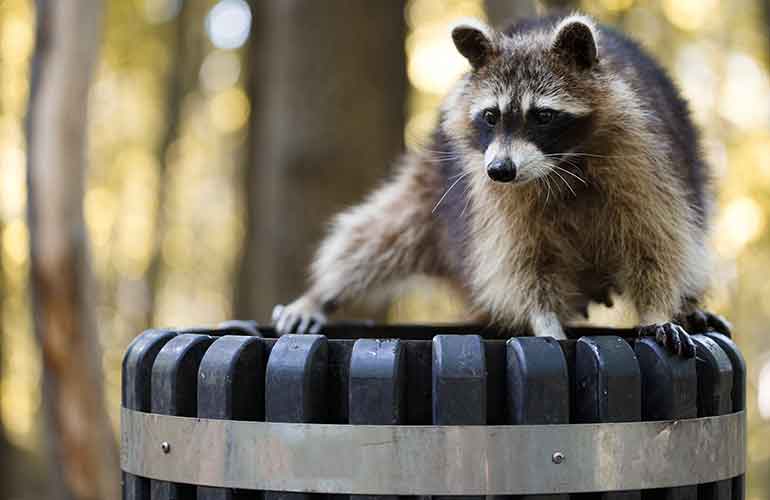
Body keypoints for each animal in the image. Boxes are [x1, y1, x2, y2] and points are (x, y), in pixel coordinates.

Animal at [271, 14, 730, 356]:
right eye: (490, 116)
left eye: (542, 116)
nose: (501, 169)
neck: (559, 165)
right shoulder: (491, 193)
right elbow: (521, 262)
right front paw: (544, 320)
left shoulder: (645, 165)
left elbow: (658, 243)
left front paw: (657, 310)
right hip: (434, 185)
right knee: (381, 235)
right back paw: (323, 293)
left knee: (692, 240)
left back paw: (689, 305)